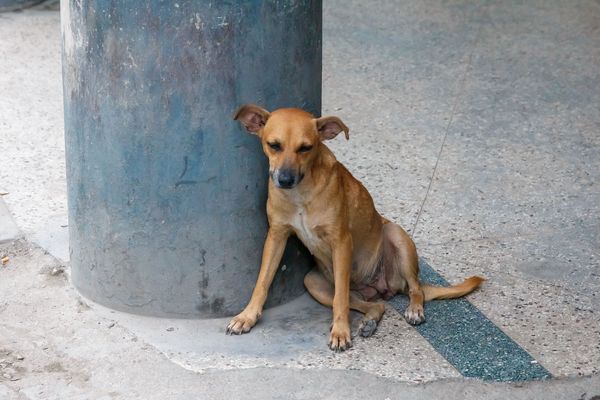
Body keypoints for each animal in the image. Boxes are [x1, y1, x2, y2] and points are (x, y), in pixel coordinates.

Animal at [225, 105, 482, 350]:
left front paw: (340, 333)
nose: (285, 180)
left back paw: (414, 309)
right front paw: (247, 316)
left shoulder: (341, 242)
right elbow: (262, 282)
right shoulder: (276, 236)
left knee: (414, 288)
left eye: (306, 148)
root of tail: (383, 287)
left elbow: (340, 300)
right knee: (373, 305)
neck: (300, 194)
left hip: (397, 237)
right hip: (314, 282)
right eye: (274, 145)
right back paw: (369, 321)